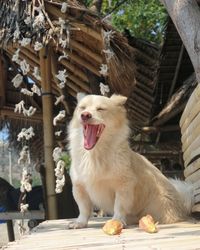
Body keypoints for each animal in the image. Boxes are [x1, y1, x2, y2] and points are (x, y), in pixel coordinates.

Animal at [67, 94, 194, 229]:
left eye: (100, 109)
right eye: (82, 108)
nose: (85, 115)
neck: (94, 154)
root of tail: (182, 204)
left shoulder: (124, 186)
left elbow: (119, 205)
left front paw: (117, 220)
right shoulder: (79, 187)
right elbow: (84, 208)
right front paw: (80, 222)